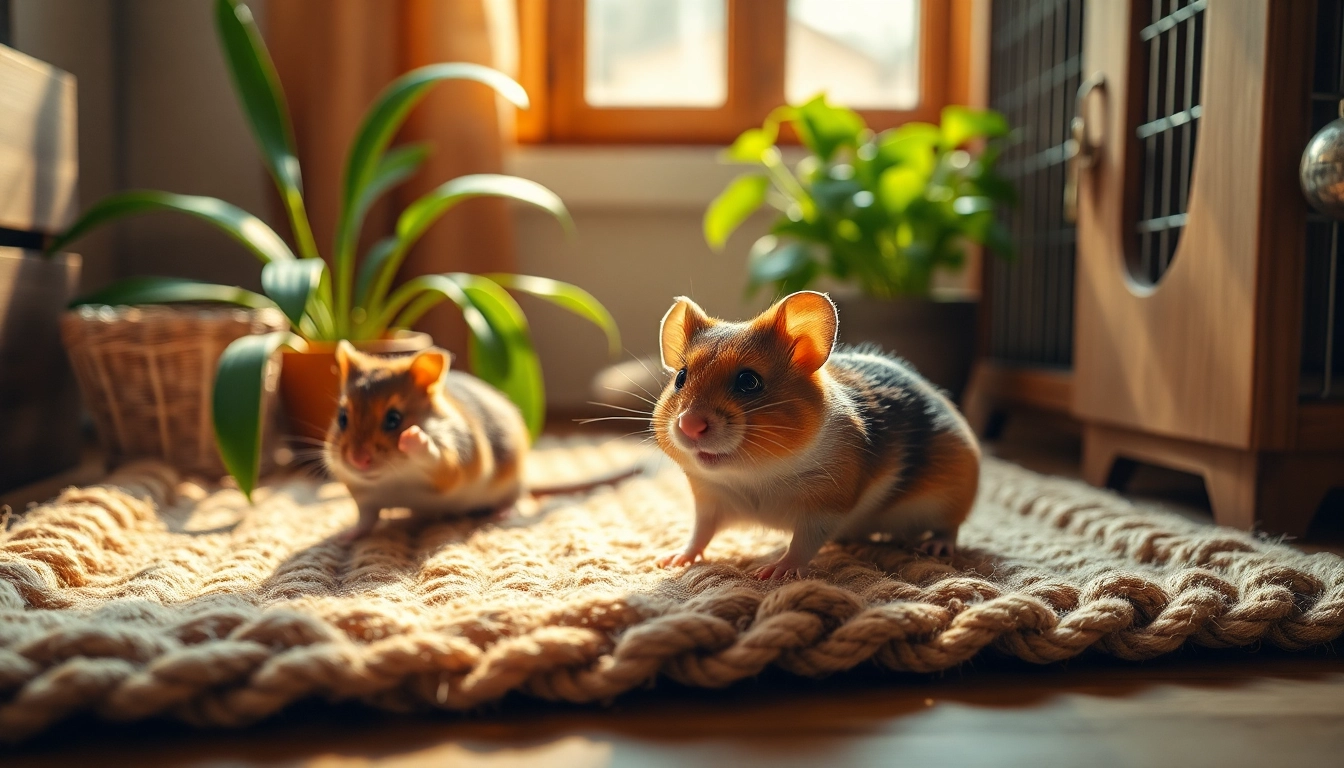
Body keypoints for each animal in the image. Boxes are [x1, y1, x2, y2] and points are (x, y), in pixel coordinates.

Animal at [325, 341, 639, 543]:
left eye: (394, 419)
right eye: (342, 418)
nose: (357, 460)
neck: (393, 478)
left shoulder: (452, 465)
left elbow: (436, 457)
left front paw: (414, 437)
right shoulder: (365, 498)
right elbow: (366, 519)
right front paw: (345, 538)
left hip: (511, 482)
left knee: (517, 498)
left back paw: (502, 514)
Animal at [651, 291, 981, 579]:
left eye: (748, 381)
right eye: (681, 377)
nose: (689, 425)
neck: (755, 475)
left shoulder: (826, 506)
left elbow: (804, 543)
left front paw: (776, 571)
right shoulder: (710, 500)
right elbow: (700, 533)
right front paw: (672, 559)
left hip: (951, 495)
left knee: (950, 527)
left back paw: (936, 547)